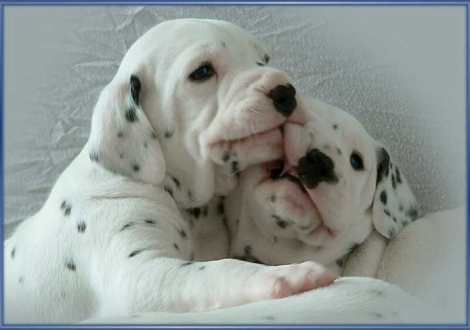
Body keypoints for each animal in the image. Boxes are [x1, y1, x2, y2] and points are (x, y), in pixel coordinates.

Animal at [4, 19, 334, 324]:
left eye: (264, 60)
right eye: (202, 72)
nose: (286, 91)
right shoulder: (140, 273)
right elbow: (220, 270)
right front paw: (291, 275)